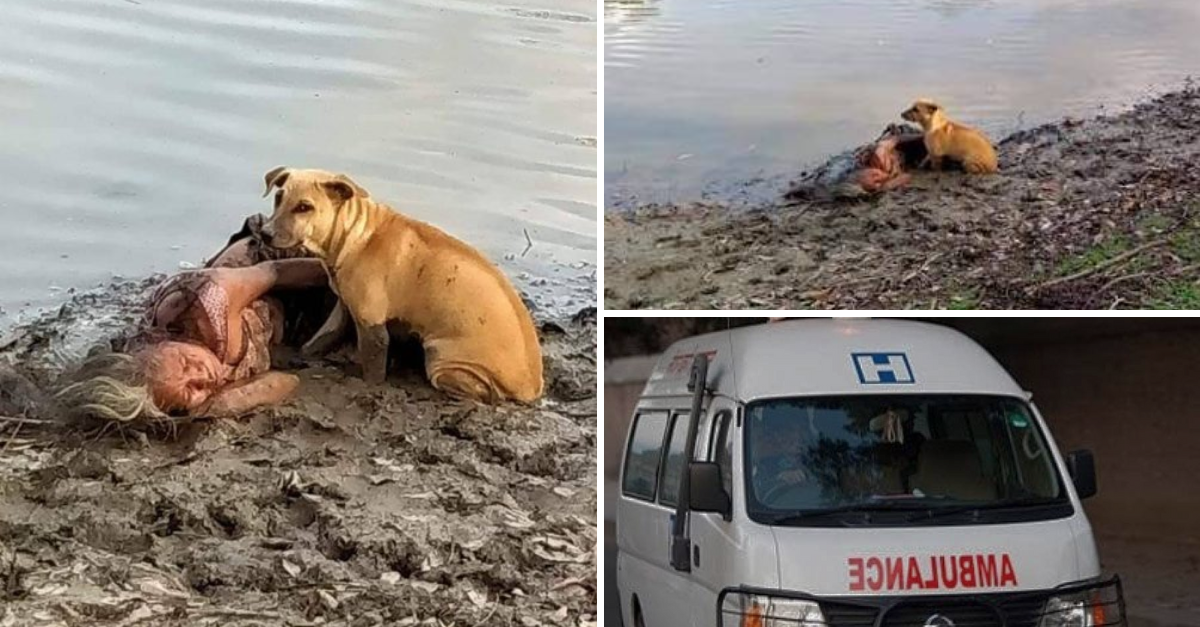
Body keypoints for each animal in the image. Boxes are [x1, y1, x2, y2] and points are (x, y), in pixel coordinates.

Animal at [264, 166, 549, 401]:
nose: (265, 234)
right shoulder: (344, 308)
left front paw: (368, 384)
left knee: (485, 392)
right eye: (278, 198)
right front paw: (302, 355)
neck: (356, 235)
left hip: (442, 360)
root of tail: (532, 387)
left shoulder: (372, 326)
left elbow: (373, 369)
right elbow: (321, 338)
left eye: (304, 207)